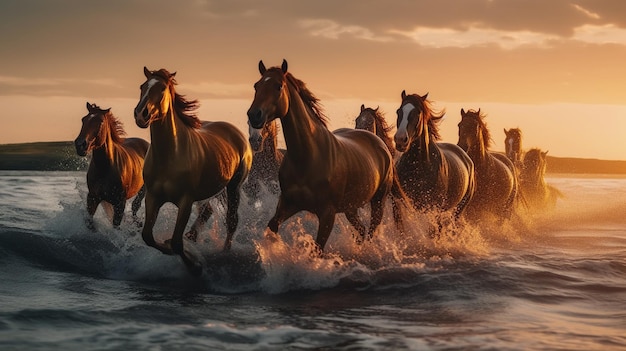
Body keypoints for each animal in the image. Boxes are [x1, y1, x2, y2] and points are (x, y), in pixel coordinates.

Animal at [73, 101, 148, 231]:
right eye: (83, 119)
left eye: (100, 122)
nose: (80, 145)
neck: (105, 168)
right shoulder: (92, 198)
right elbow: (90, 222)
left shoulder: (120, 204)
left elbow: (116, 225)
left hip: (143, 190)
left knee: (135, 207)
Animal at [133, 66, 251, 276]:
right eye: (142, 86)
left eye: (162, 89)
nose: (141, 114)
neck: (170, 155)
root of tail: (236, 132)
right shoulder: (153, 197)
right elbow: (148, 236)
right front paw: (168, 245)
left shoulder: (185, 201)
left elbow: (177, 243)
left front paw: (195, 266)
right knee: (207, 213)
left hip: (234, 187)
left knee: (231, 221)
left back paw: (225, 253)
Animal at [245, 60, 400, 252]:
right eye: (256, 85)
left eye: (278, 85)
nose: (254, 115)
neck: (308, 156)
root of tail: (380, 143)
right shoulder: (288, 204)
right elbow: (272, 226)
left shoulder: (327, 214)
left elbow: (317, 249)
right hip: (351, 207)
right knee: (361, 230)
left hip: (378, 201)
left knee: (371, 231)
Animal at [390, 89, 472, 219]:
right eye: (399, 111)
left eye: (417, 113)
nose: (400, 139)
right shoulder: (399, 205)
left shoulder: (432, 208)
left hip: (458, 209)